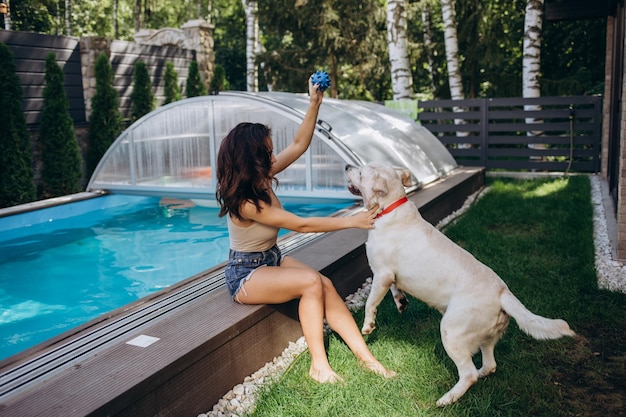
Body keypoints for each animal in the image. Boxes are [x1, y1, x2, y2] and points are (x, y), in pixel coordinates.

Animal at [344, 162, 572, 406]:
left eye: (361, 173)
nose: (347, 166)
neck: (390, 207)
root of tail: (503, 293)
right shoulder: (390, 276)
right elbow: (395, 289)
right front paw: (401, 302)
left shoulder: (382, 274)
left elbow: (371, 302)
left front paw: (368, 326)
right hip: (486, 337)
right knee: (489, 365)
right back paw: (478, 375)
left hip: (451, 331)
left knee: (468, 374)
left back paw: (447, 399)